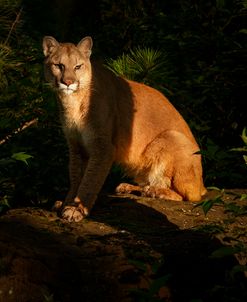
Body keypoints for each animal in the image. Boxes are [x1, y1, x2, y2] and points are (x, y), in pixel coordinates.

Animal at [42, 36, 206, 223]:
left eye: (78, 66)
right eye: (58, 65)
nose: (68, 82)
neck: (73, 102)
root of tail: (202, 183)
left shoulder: (103, 147)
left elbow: (90, 179)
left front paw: (76, 209)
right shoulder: (75, 145)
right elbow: (76, 177)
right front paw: (65, 203)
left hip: (171, 136)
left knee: (190, 196)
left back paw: (155, 191)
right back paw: (131, 187)